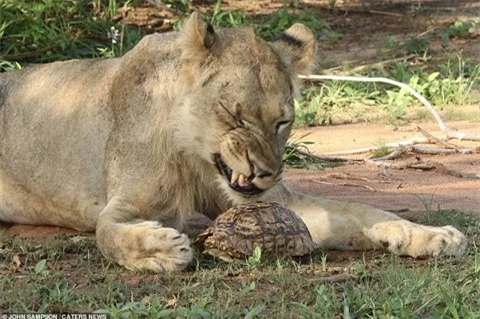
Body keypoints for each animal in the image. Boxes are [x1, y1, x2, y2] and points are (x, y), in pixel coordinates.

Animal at [0, 13, 464, 272]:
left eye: (282, 121)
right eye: (235, 115)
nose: (266, 173)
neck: (197, 161)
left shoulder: (277, 203)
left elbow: (360, 212)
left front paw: (432, 236)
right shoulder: (123, 203)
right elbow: (106, 234)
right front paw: (160, 249)